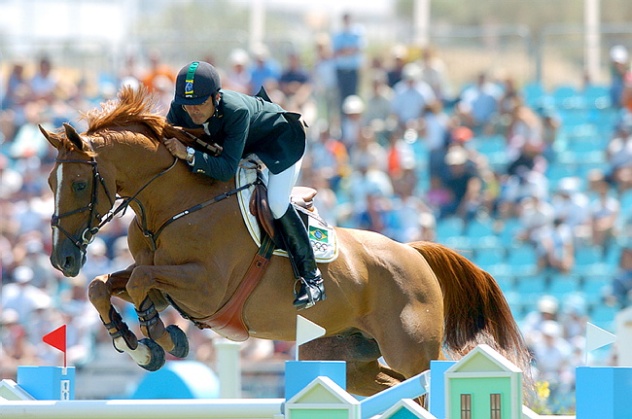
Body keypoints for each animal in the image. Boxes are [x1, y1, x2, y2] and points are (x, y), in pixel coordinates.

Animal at [42, 86, 532, 400]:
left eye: (81, 184)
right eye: (50, 181)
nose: (62, 260)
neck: (171, 205)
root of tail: (415, 254)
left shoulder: (205, 288)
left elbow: (141, 280)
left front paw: (162, 339)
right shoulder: (170, 286)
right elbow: (106, 285)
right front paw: (138, 344)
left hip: (412, 349)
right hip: (346, 357)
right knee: (392, 389)